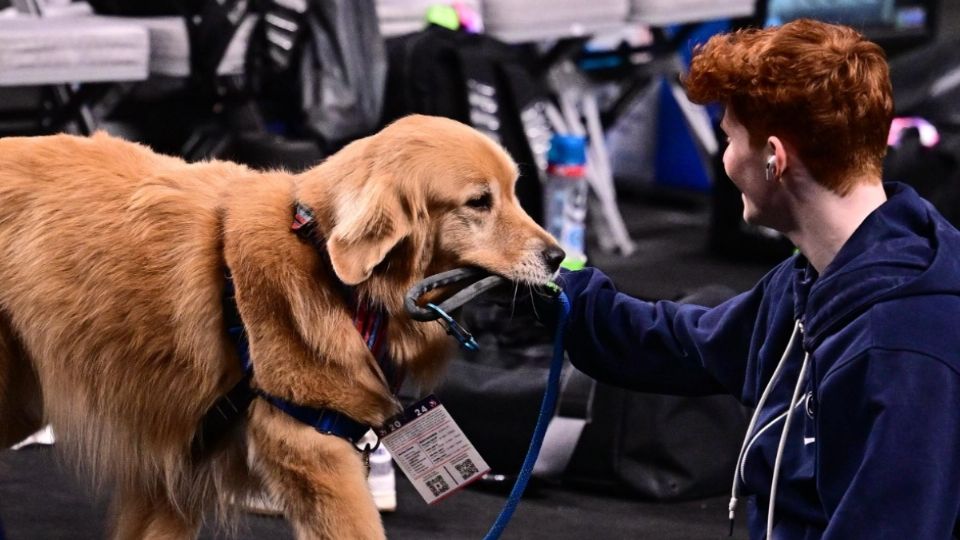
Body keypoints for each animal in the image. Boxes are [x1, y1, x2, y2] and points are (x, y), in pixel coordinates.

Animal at [0, 115, 568, 540]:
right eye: (479, 202)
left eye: (515, 193)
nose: (559, 257)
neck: (328, 268)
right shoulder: (312, 449)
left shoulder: (178, 471)